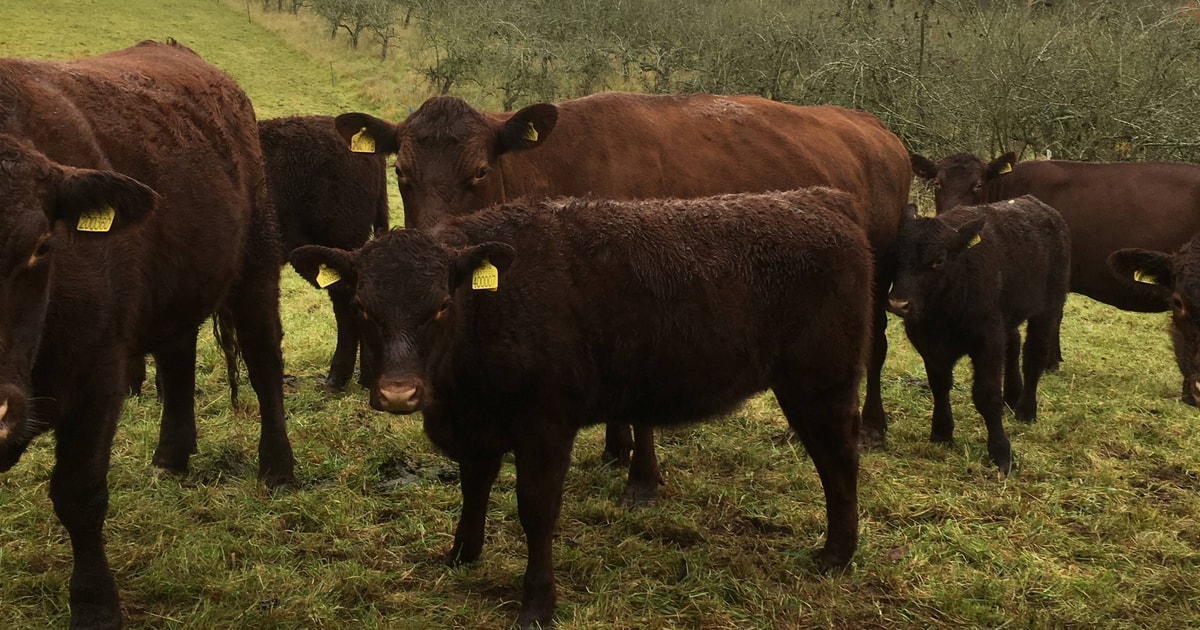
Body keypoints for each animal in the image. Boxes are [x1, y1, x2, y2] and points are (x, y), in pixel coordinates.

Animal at [0, 40, 293, 629]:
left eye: (41, 244)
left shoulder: (98, 371)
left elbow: (79, 494)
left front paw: (95, 606)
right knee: (178, 362)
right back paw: (171, 458)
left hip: (255, 262)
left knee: (263, 361)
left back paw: (278, 467)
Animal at [290, 187, 873, 629]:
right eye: (363, 306)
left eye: (441, 306)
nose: (398, 393)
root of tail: (820, 200)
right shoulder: (479, 426)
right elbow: (473, 487)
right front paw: (460, 555)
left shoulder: (546, 423)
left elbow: (536, 511)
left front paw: (536, 605)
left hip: (821, 384)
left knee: (839, 461)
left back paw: (835, 555)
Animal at [332, 91, 911, 505]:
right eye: (401, 173)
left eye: (479, 171)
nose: (436, 245)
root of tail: (876, 127)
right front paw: (615, 450)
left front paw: (642, 479)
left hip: (881, 271)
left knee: (877, 346)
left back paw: (873, 428)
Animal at [887, 197, 1071, 473]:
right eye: (895, 255)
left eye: (939, 260)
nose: (899, 304)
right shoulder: (927, 344)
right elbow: (939, 386)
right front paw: (941, 432)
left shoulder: (988, 340)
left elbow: (986, 395)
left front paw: (1001, 452)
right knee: (1014, 343)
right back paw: (1012, 396)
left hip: (1049, 305)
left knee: (1034, 355)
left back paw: (1026, 410)